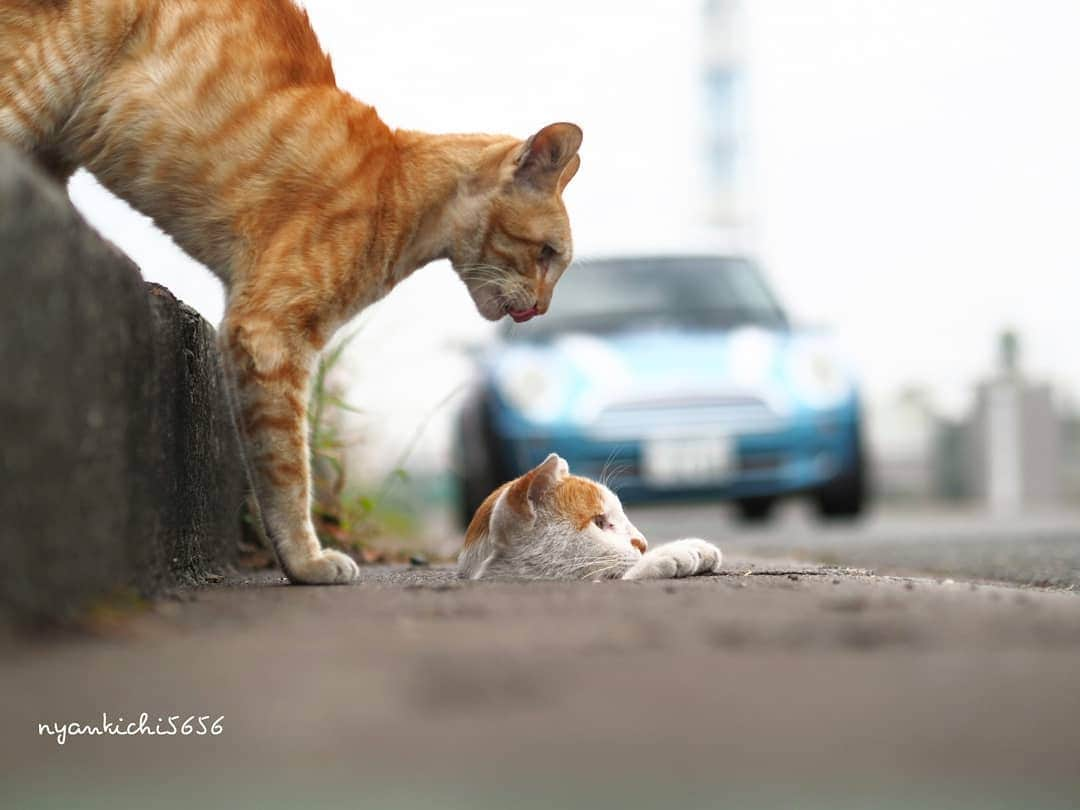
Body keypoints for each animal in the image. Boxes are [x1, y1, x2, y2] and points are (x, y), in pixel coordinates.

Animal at [2, 0, 583, 583]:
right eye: (547, 254)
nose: (543, 308)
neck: (400, 189)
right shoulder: (270, 332)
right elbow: (286, 466)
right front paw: (305, 560)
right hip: (50, 74)